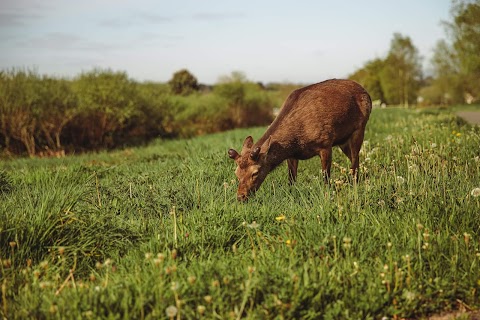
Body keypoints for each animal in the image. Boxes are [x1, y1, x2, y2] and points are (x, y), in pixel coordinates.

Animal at [228, 79, 372, 201]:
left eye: (255, 172)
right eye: (236, 174)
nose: (240, 196)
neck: (296, 141)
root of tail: (366, 91)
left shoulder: (326, 143)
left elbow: (325, 177)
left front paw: (326, 195)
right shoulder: (292, 155)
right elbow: (291, 179)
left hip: (359, 129)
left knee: (355, 160)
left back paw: (355, 184)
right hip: (343, 141)